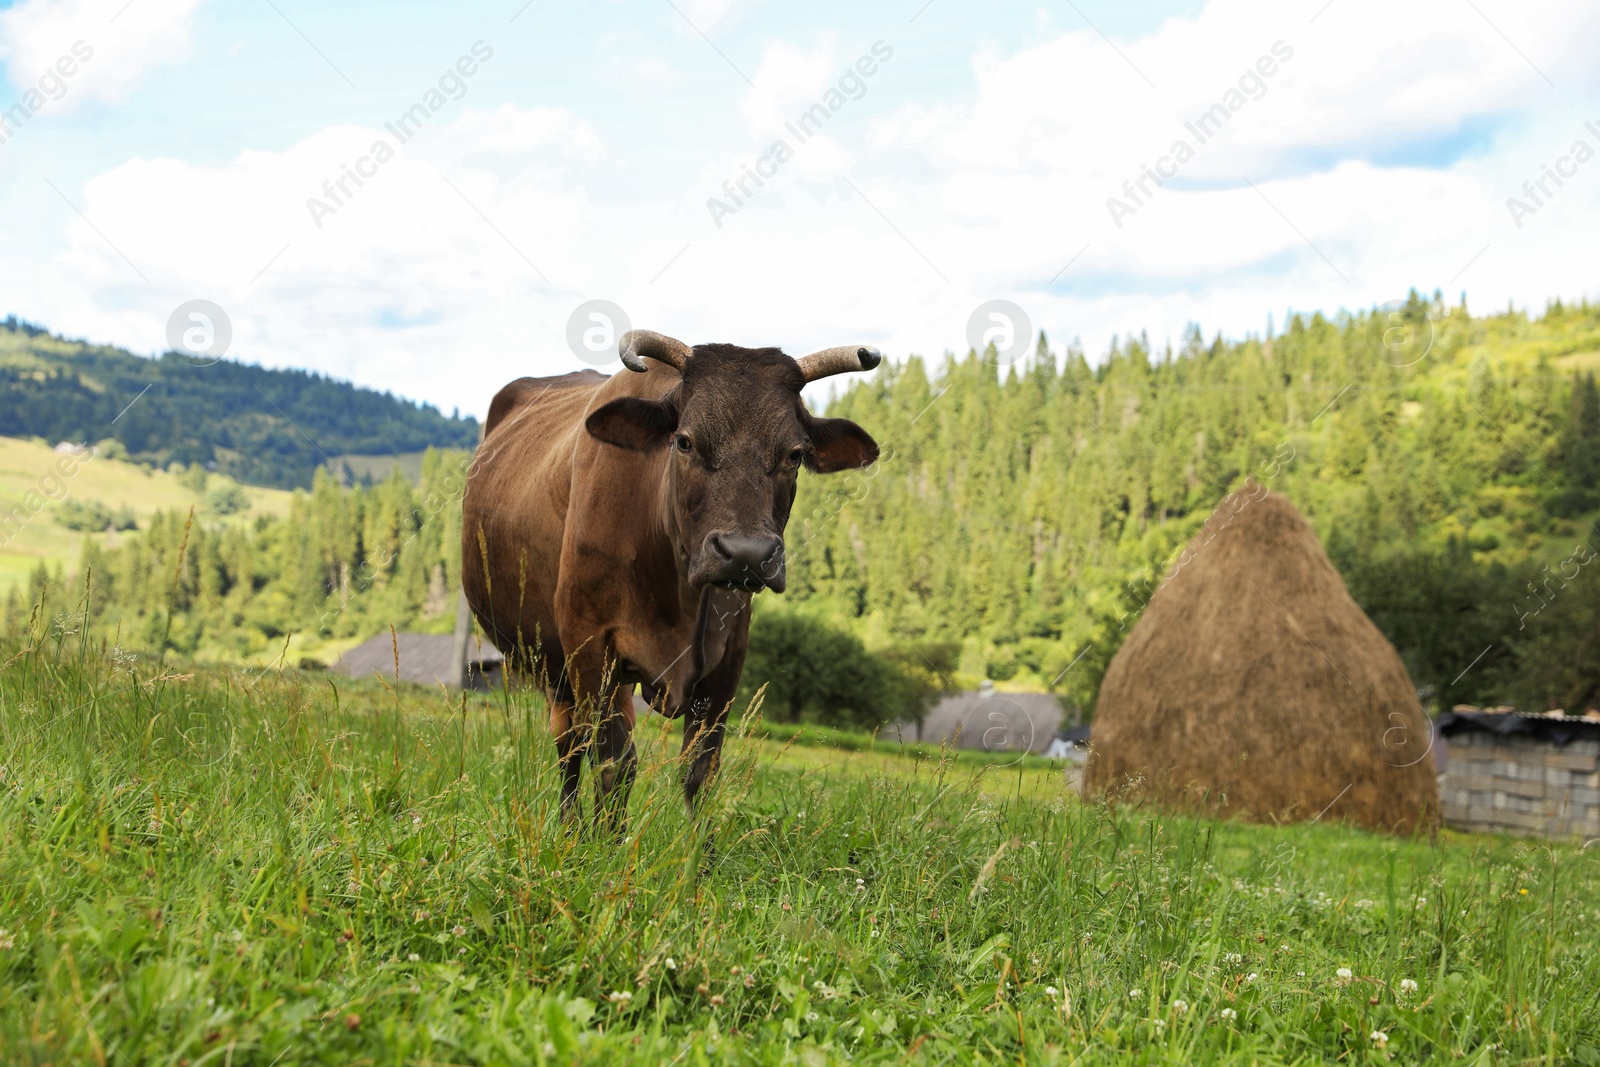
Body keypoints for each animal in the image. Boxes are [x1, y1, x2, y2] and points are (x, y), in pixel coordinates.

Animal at [464, 331, 883, 825]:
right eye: (683, 442)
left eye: (795, 454)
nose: (745, 554)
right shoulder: (589, 644)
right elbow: (614, 764)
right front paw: (600, 844)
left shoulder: (728, 659)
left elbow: (701, 772)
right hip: (554, 662)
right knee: (570, 743)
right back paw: (568, 828)